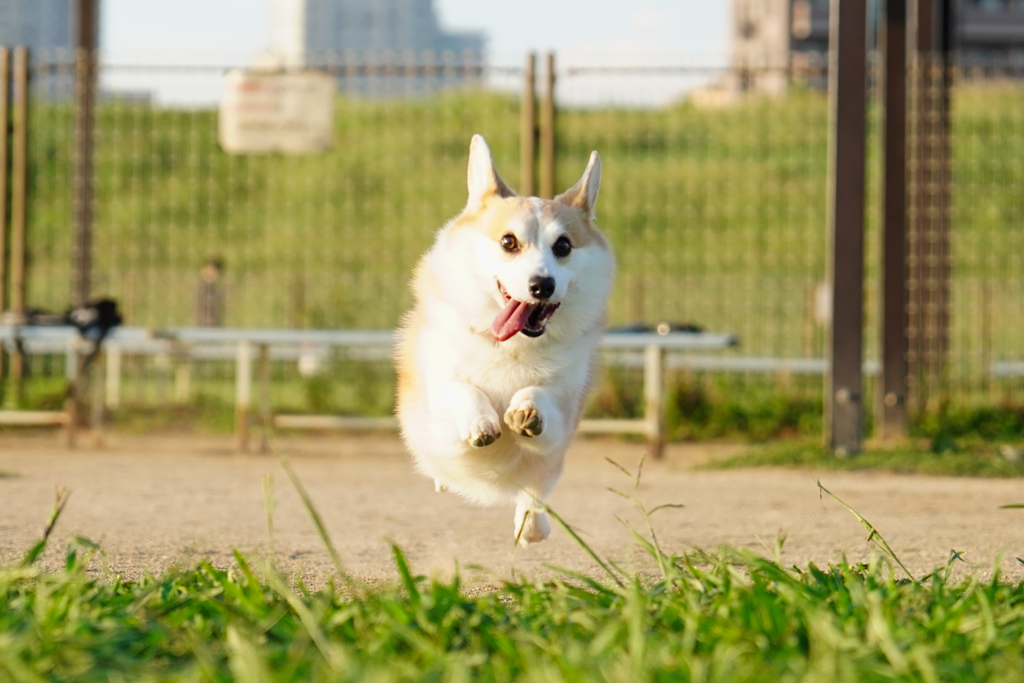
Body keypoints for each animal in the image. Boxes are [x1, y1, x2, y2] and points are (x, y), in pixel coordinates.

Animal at [395, 136, 610, 548]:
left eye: (563, 246)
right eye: (509, 242)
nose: (542, 285)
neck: (512, 349)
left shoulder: (560, 423)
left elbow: (542, 397)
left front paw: (526, 410)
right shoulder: (437, 412)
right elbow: (462, 389)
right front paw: (481, 421)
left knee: (534, 495)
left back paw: (532, 527)